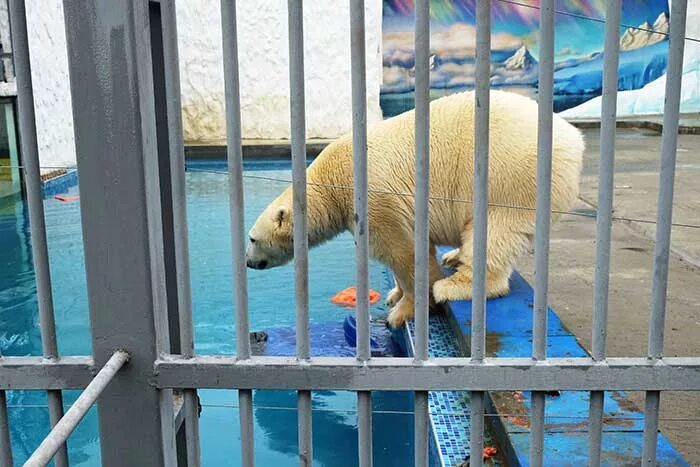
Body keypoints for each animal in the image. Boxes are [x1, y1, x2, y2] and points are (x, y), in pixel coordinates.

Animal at [246, 90, 584, 330]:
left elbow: (402, 252)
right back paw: (454, 256)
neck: (333, 181)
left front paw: (402, 311)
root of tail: (574, 140)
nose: (248, 262)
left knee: (494, 233)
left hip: (510, 176)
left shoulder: (377, 199)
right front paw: (394, 294)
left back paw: (455, 285)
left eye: (251, 239)